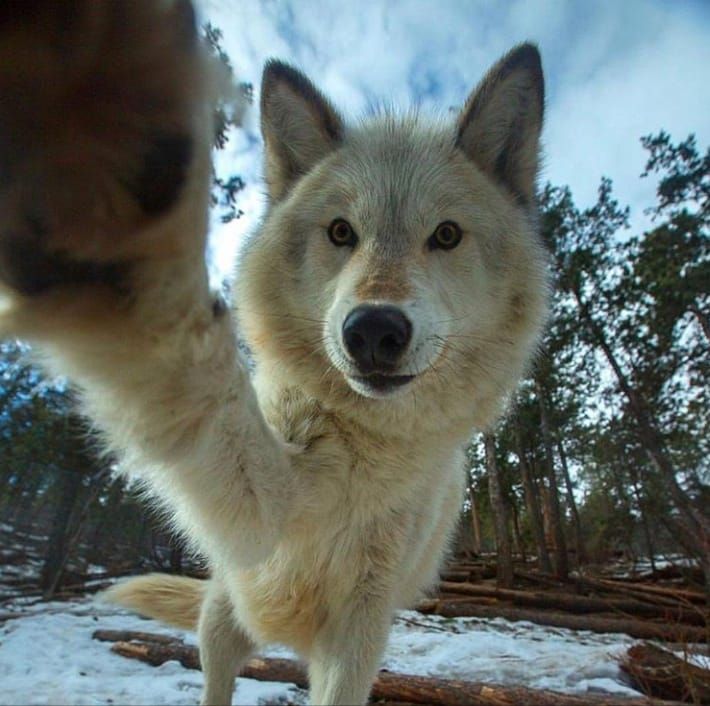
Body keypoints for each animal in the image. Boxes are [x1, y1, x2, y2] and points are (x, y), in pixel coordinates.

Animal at [0, 2, 552, 700]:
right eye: (341, 232)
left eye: (446, 235)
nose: (374, 330)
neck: (364, 448)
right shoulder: (265, 510)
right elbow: (203, 380)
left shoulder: (360, 629)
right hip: (223, 613)